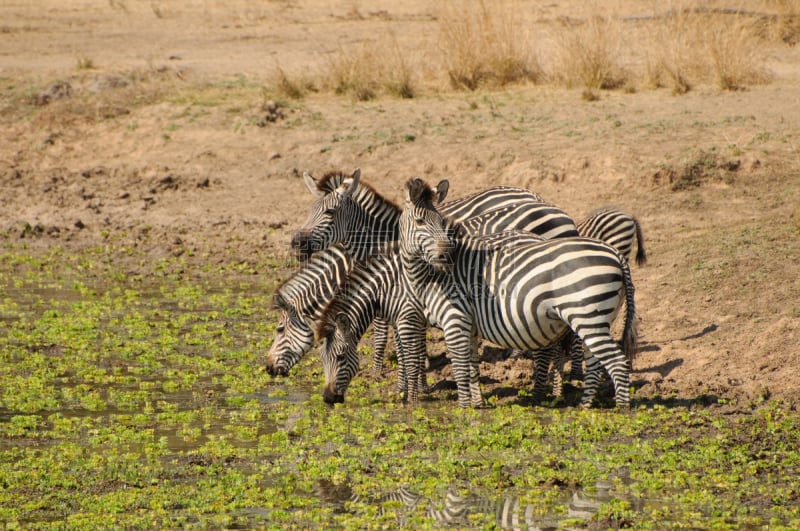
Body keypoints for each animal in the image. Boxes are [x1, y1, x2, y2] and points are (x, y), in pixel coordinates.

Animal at [398, 177, 636, 410]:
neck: (431, 277)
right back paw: (584, 405)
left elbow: (459, 368)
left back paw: (621, 409)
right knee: (595, 361)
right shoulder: (469, 326)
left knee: (617, 362)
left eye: (441, 222)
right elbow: (472, 367)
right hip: (597, 318)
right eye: (420, 222)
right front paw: (477, 404)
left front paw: (463, 408)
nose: (448, 256)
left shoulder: (454, 320)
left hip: (586, 315)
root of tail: (615, 254)